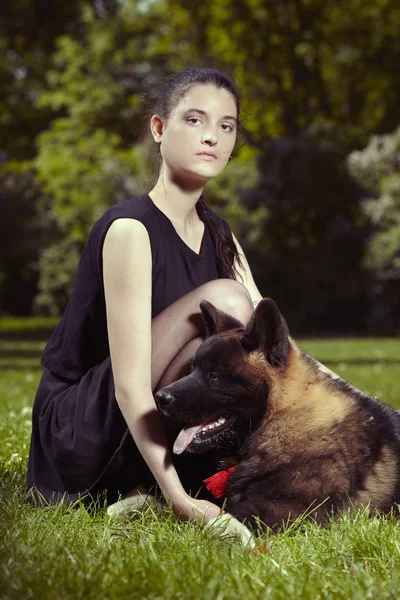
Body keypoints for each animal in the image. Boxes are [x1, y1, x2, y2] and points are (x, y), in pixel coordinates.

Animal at [153, 298, 400, 528]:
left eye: (214, 376)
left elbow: (229, 512)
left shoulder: (301, 510)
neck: (282, 418)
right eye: (192, 369)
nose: (159, 397)